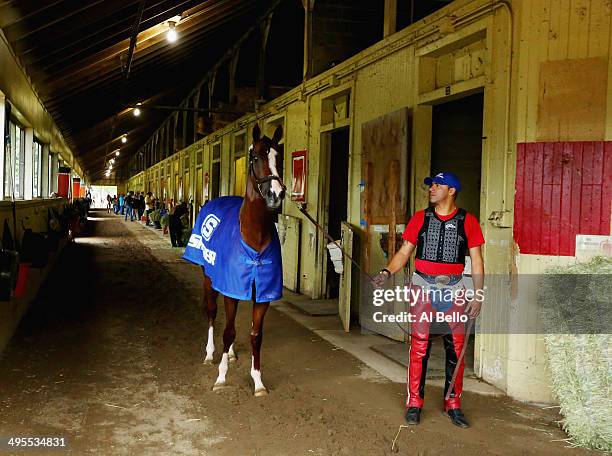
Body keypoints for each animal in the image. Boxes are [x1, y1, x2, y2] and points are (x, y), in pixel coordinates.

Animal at [183, 124, 286, 396]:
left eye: (279, 157)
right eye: (255, 157)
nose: (276, 194)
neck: (253, 239)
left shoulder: (262, 295)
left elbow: (255, 335)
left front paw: (258, 381)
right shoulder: (229, 289)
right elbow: (228, 331)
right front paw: (221, 378)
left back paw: (228, 354)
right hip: (209, 279)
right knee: (212, 313)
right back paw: (211, 354)